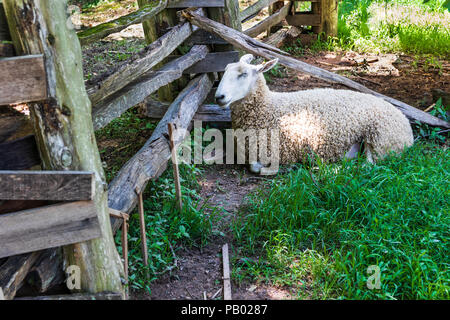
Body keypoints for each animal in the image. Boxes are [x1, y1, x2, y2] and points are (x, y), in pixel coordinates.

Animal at [214, 54, 414, 172]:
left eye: (244, 74)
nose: (219, 97)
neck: (269, 108)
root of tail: (407, 126)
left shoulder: (270, 151)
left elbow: (256, 168)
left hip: (380, 139)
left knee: (367, 166)